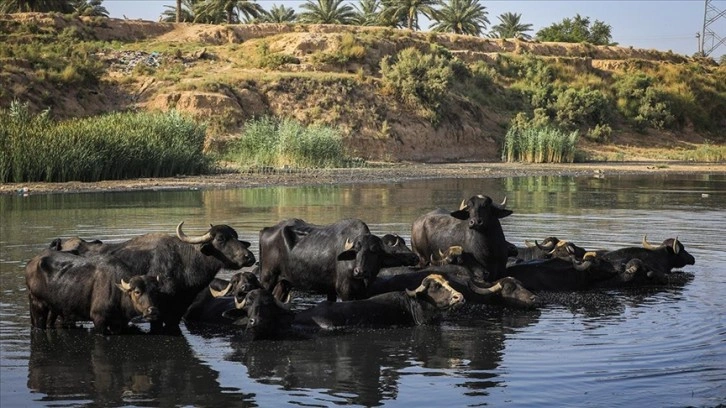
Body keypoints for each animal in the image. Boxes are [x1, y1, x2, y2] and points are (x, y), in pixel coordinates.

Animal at [26, 250, 163, 334]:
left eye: (156, 292)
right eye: (137, 292)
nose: (152, 310)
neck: (118, 294)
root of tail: (32, 262)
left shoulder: (120, 323)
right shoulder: (98, 319)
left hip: (53, 308)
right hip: (37, 304)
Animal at [260, 218, 420, 302]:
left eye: (374, 251)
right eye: (356, 250)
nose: (359, 271)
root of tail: (266, 230)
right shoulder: (344, 292)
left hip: (284, 283)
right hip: (268, 278)